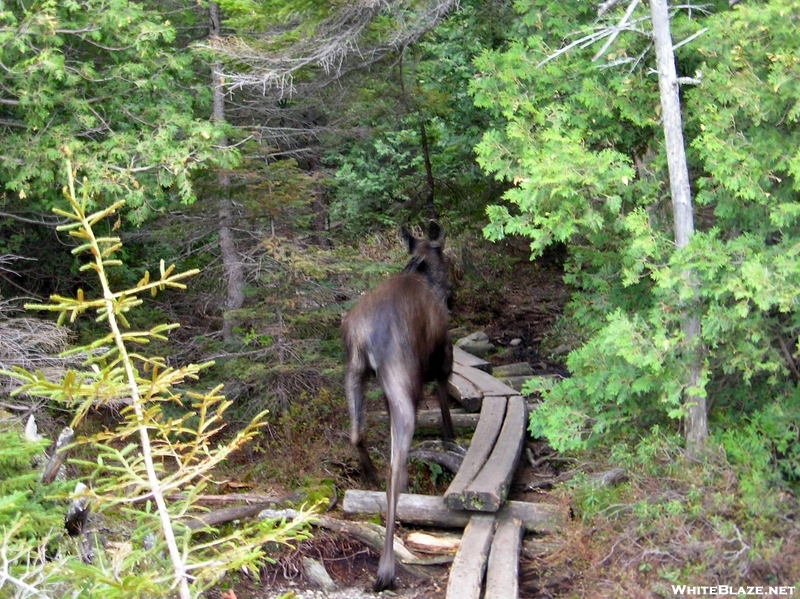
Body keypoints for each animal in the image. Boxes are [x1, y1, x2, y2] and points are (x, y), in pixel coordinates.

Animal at [340, 220, 456, 592]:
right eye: (447, 257)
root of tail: (365, 332)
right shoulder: (441, 359)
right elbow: (445, 402)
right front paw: (451, 439)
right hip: (401, 377)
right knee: (396, 468)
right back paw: (386, 569)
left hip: (354, 371)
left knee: (356, 433)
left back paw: (369, 475)